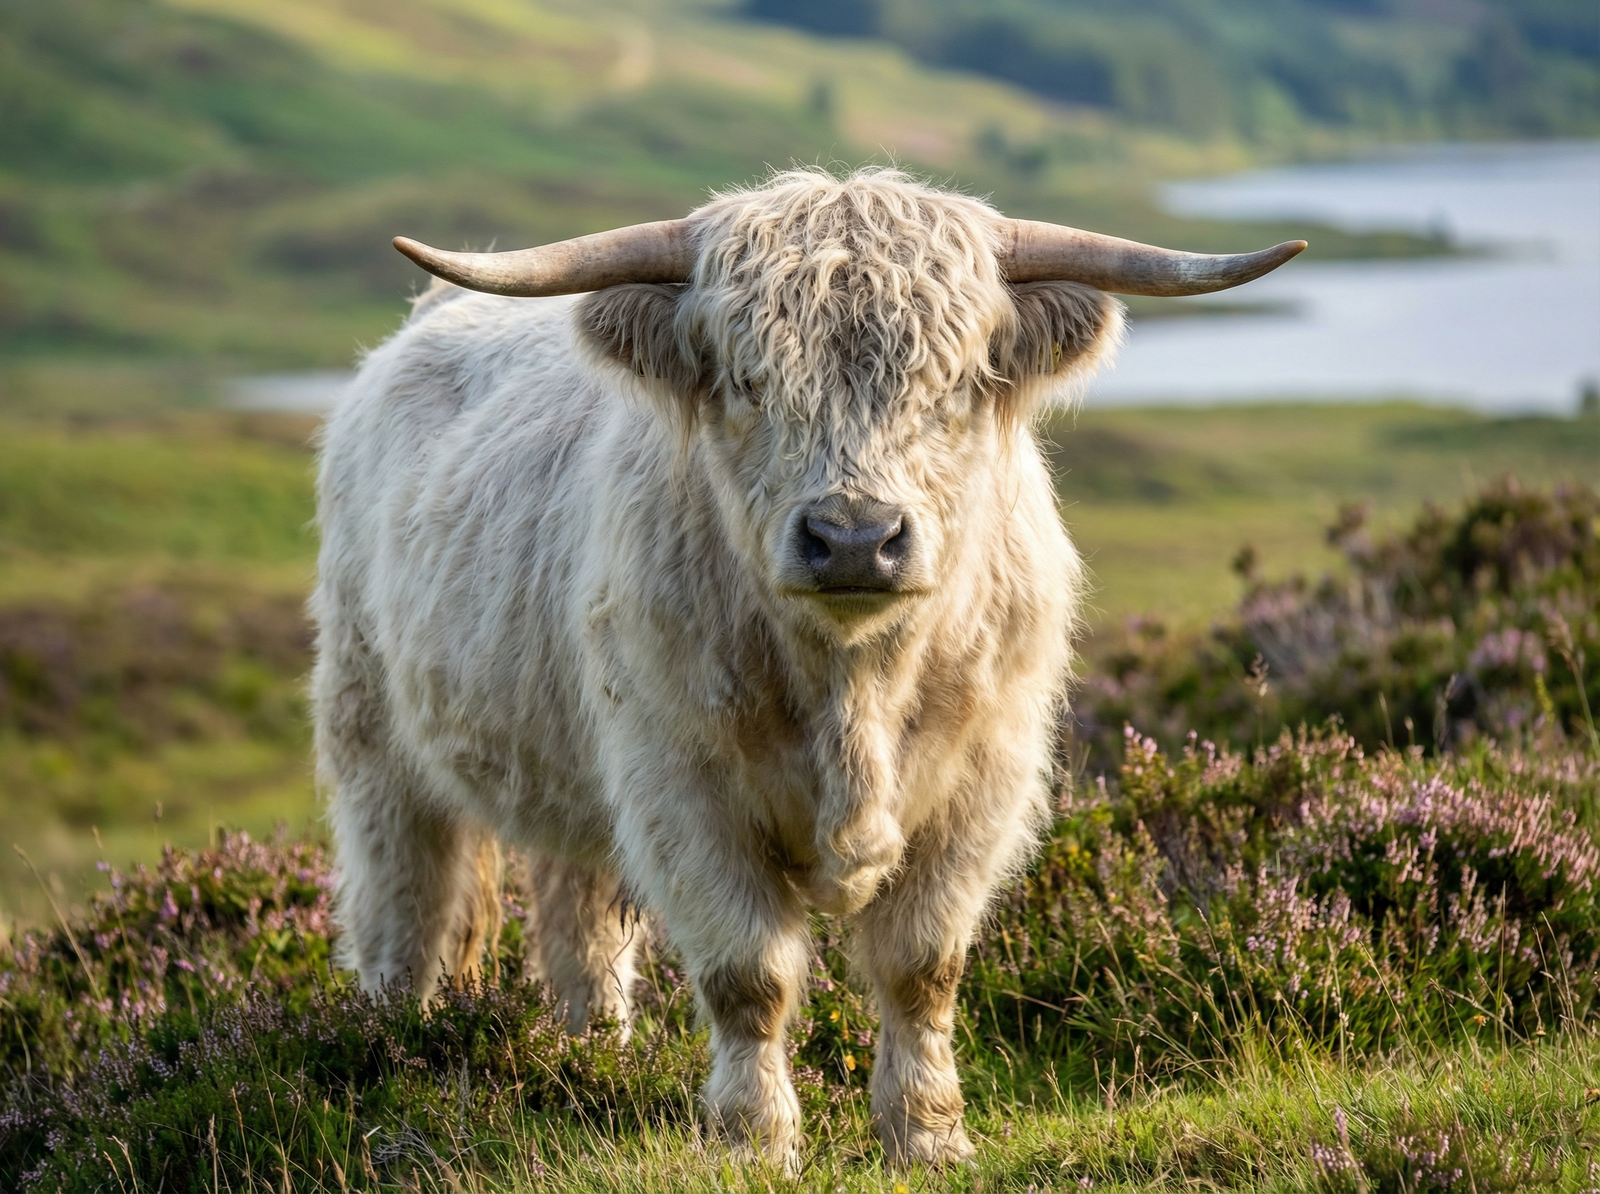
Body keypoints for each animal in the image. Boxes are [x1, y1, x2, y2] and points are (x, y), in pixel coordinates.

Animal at [311, 168, 1302, 1168]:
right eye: (751, 380)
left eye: (951, 381)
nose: (855, 538)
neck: (853, 683)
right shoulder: (682, 790)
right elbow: (749, 975)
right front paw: (753, 1140)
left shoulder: (981, 785)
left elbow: (922, 967)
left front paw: (928, 1136)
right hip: (371, 734)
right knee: (405, 905)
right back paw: (394, 1047)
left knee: (576, 921)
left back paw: (593, 1057)